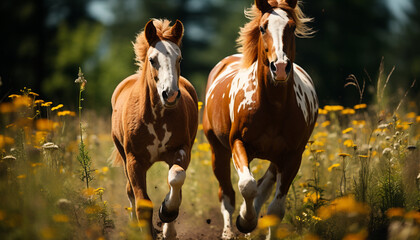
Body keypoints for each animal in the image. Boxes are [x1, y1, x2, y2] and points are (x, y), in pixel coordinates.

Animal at [110, 18, 198, 238]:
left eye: (179, 59)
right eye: (152, 60)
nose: (171, 95)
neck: (157, 118)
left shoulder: (181, 151)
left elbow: (176, 178)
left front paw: (167, 211)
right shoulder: (134, 160)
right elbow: (142, 204)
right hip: (124, 157)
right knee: (129, 191)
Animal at [203, 0, 318, 238]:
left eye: (292, 27)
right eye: (263, 28)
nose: (280, 67)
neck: (273, 107)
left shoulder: (293, 155)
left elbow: (275, 208)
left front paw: (251, 220)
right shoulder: (238, 143)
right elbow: (247, 185)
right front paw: (245, 221)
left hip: (277, 159)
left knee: (264, 186)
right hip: (217, 150)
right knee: (226, 194)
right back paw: (229, 231)